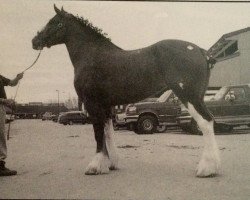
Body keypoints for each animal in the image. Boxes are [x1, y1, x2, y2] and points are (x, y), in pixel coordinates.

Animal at [32, 5, 220, 177]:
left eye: (53, 22)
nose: (35, 41)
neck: (91, 55)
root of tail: (201, 51)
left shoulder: (93, 103)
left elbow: (98, 134)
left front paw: (95, 166)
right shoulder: (106, 105)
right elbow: (108, 132)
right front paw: (111, 163)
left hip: (189, 96)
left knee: (205, 122)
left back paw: (206, 169)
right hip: (197, 97)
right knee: (210, 120)